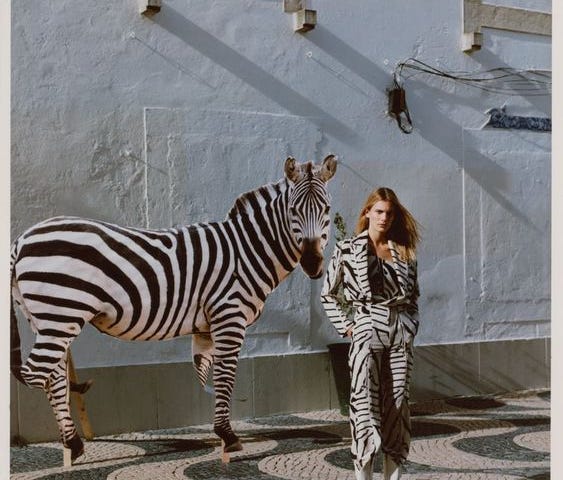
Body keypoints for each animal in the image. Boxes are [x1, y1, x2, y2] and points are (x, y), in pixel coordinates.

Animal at [11, 154, 338, 462]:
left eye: (326, 210)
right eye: (293, 210)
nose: (313, 264)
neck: (246, 252)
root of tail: (23, 238)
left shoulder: (207, 326)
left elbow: (209, 375)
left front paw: (219, 432)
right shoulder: (229, 316)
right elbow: (226, 376)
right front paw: (228, 436)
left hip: (49, 321)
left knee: (53, 377)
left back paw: (74, 445)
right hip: (61, 314)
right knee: (38, 375)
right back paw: (69, 448)